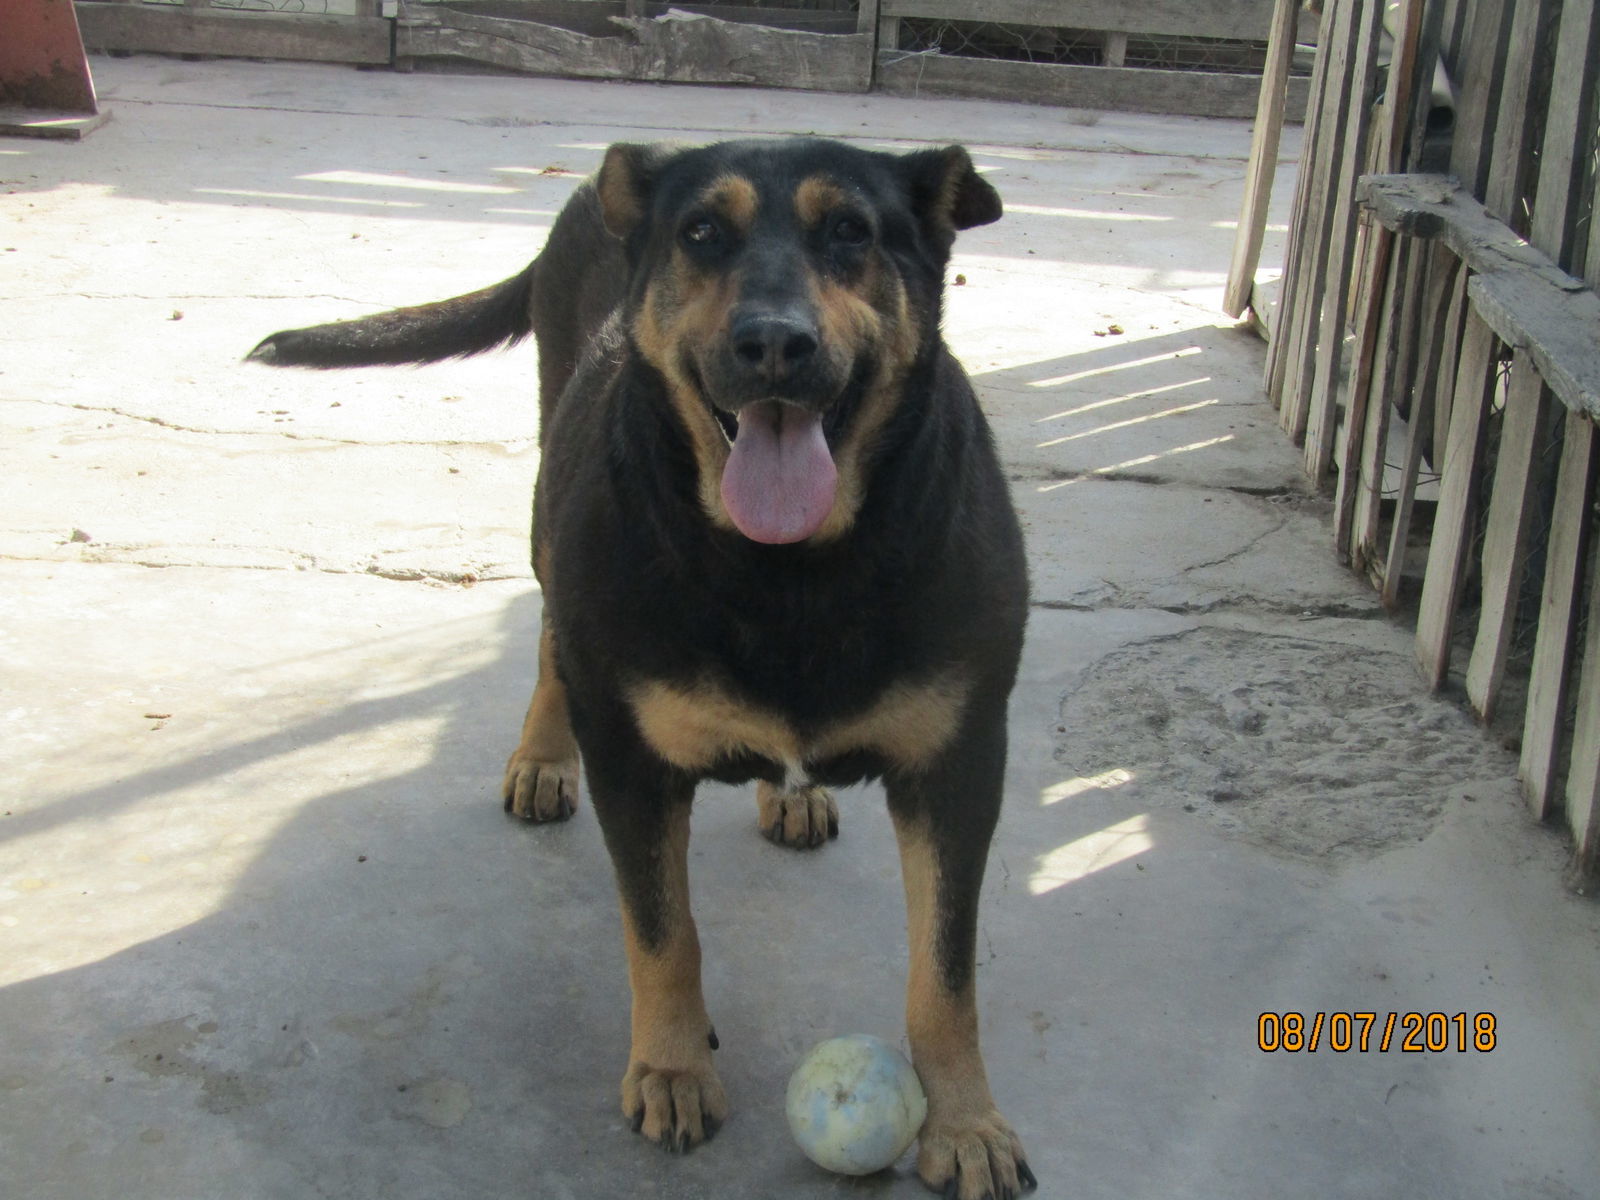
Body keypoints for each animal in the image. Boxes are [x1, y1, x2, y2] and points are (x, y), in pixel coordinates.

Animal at [244, 136, 1030, 1196]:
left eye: (850, 231)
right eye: (701, 233)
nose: (771, 344)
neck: (790, 570)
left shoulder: (962, 763)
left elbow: (945, 970)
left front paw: (966, 1121)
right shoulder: (629, 756)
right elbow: (663, 933)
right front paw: (671, 1068)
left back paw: (786, 795)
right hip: (554, 507)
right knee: (546, 631)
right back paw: (542, 758)